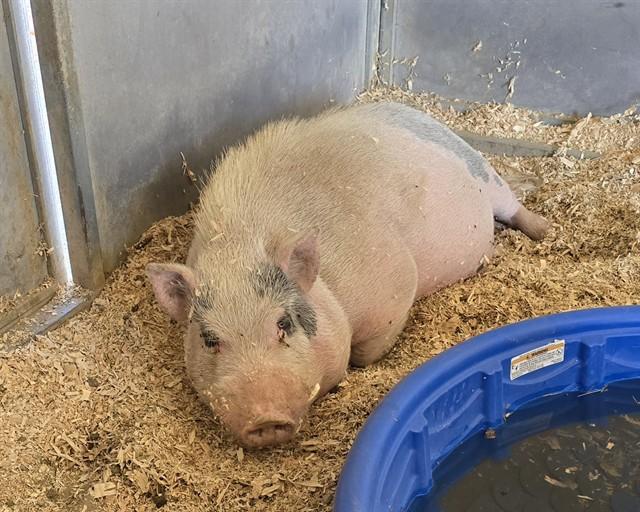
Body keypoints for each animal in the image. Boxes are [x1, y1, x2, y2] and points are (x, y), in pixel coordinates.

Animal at [146, 101, 549, 448]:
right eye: (209, 339)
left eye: (284, 323)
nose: (265, 418)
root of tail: (412, 111)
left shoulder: (396, 286)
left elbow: (365, 355)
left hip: (481, 171)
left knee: (513, 207)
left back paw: (541, 232)